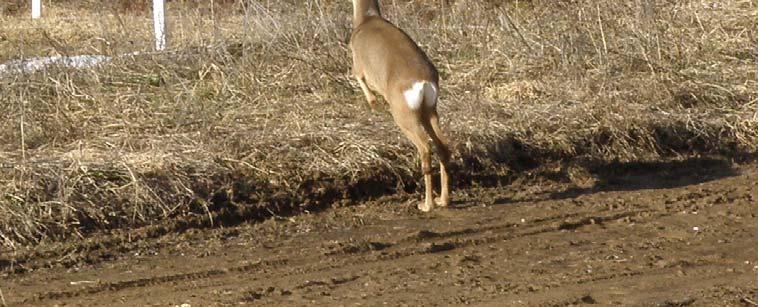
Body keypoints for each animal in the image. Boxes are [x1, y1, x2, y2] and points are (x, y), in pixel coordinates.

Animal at [348, 0, 452, 212]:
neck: (366, 19)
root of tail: (423, 82)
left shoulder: (358, 65)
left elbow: (359, 78)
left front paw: (373, 103)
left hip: (405, 118)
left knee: (425, 148)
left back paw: (427, 204)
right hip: (429, 112)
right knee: (443, 146)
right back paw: (442, 200)